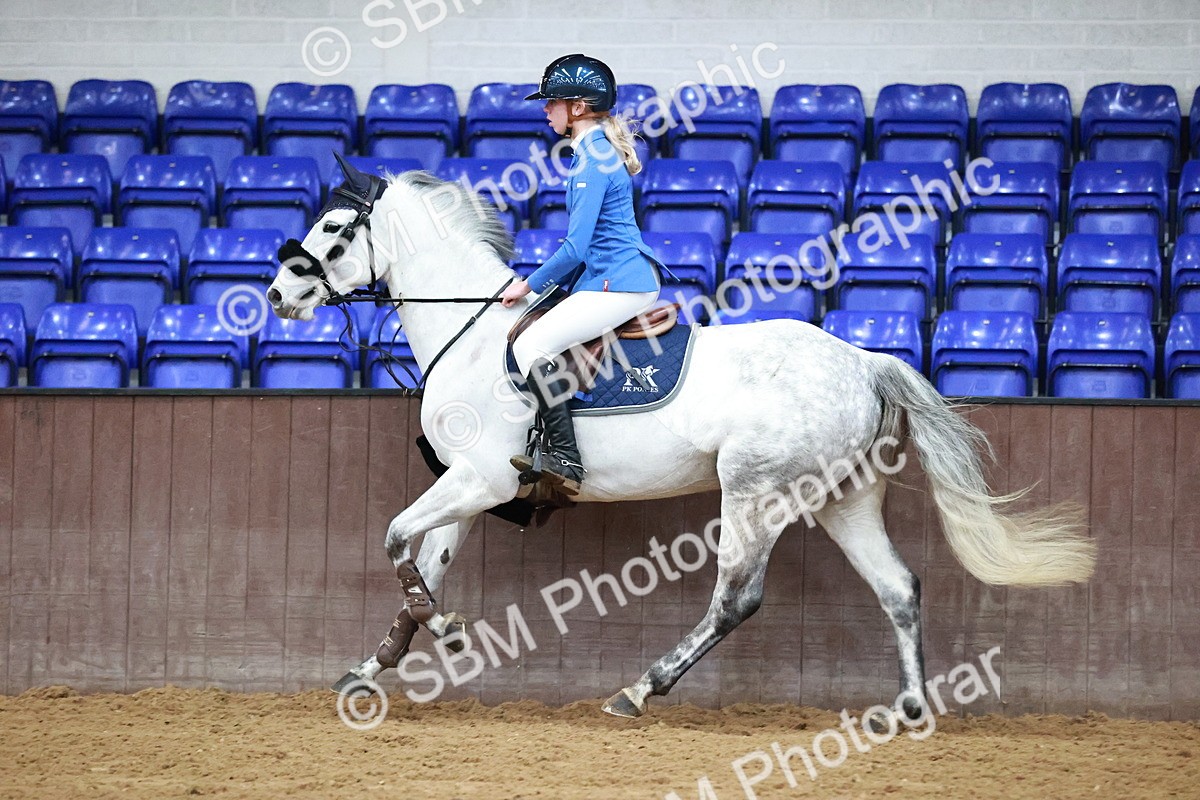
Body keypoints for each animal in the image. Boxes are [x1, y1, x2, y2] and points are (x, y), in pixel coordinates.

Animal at [265, 159, 1096, 720]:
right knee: (897, 587)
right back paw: (910, 709)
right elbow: (421, 565)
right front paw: (373, 667)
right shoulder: (470, 488)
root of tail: (862, 360)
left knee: (736, 599)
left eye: (334, 230)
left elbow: (393, 537)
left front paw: (444, 632)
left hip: (756, 491)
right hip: (842, 498)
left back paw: (639, 689)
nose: (278, 293)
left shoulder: (482, 480)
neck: (471, 334)